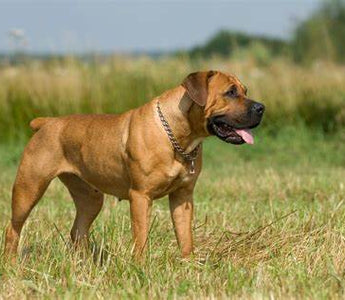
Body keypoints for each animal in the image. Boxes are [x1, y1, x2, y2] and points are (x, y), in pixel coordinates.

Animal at [3, 71, 264, 260]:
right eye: (230, 92)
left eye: (245, 91)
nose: (261, 107)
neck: (177, 135)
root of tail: (47, 122)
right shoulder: (140, 196)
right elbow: (141, 236)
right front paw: (140, 265)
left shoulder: (183, 197)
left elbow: (185, 235)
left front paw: (189, 263)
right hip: (29, 187)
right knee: (13, 228)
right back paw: (11, 263)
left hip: (90, 198)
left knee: (78, 230)